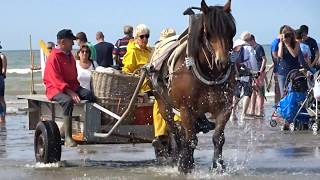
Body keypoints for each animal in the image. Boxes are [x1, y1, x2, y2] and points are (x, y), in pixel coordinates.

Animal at [149, 0, 235, 174]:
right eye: (208, 32)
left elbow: (218, 138)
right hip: (164, 105)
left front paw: (218, 166)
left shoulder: (225, 107)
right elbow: (190, 140)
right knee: (175, 132)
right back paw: (177, 158)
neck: (209, 73)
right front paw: (184, 165)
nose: (222, 63)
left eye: (231, 31)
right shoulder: (185, 109)